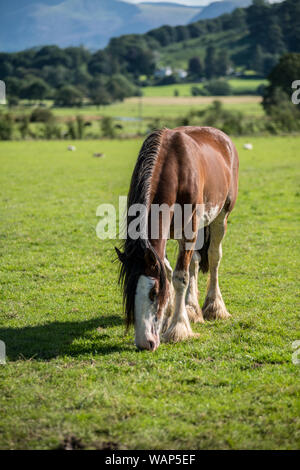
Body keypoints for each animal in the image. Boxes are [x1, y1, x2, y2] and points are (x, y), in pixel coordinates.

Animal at [115, 126, 239, 350]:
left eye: (154, 292)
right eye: (129, 293)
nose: (144, 343)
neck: (174, 169)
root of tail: (224, 138)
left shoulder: (189, 230)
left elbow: (180, 277)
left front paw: (177, 328)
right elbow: (168, 272)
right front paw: (169, 316)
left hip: (221, 216)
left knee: (214, 258)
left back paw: (213, 307)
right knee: (195, 262)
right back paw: (192, 308)